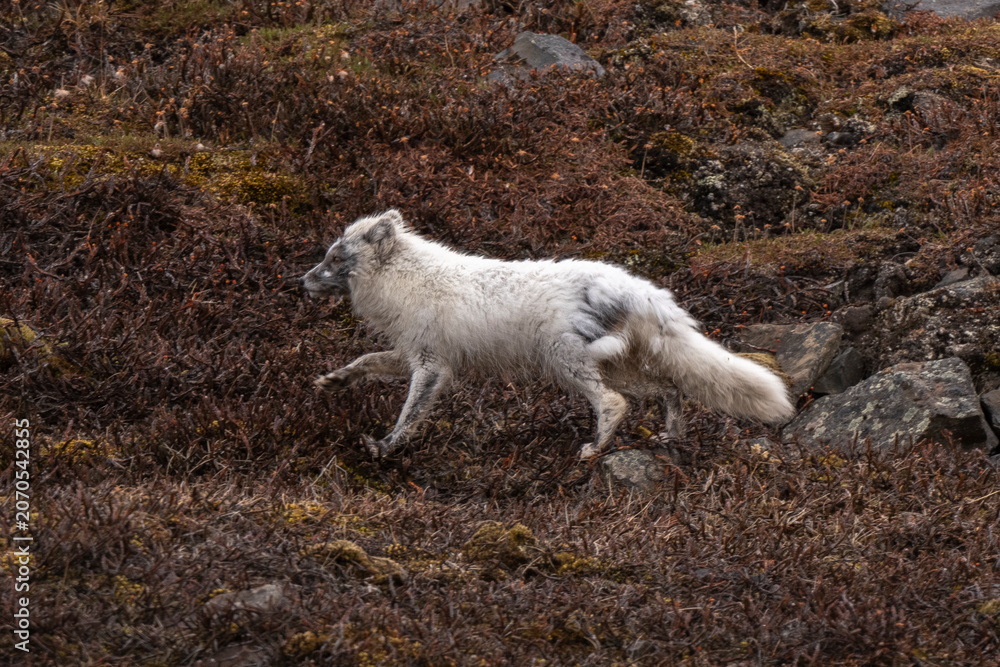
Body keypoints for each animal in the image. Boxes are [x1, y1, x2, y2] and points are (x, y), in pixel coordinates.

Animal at [303, 209, 795, 460]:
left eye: (334, 258)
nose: (300, 281)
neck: (406, 279)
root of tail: (638, 289)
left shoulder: (432, 365)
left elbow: (409, 415)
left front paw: (385, 446)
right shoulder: (409, 353)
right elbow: (365, 362)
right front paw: (334, 381)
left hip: (566, 362)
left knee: (615, 403)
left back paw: (594, 449)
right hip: (614, 365)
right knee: (670, 388)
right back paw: (671, 438)